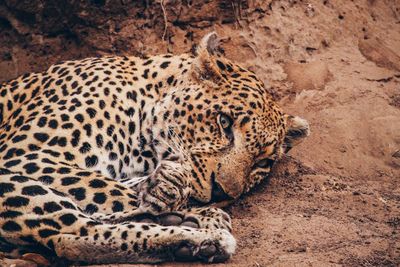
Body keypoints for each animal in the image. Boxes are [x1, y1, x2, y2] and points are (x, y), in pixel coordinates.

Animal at [0, 32, 310, 264]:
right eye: (224, 122)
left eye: (262, 163)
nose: (223, 192)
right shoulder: (25, 154)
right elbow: (106, 187)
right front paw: (192, 208)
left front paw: (169, 193)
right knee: (74, 235)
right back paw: (199, 233)